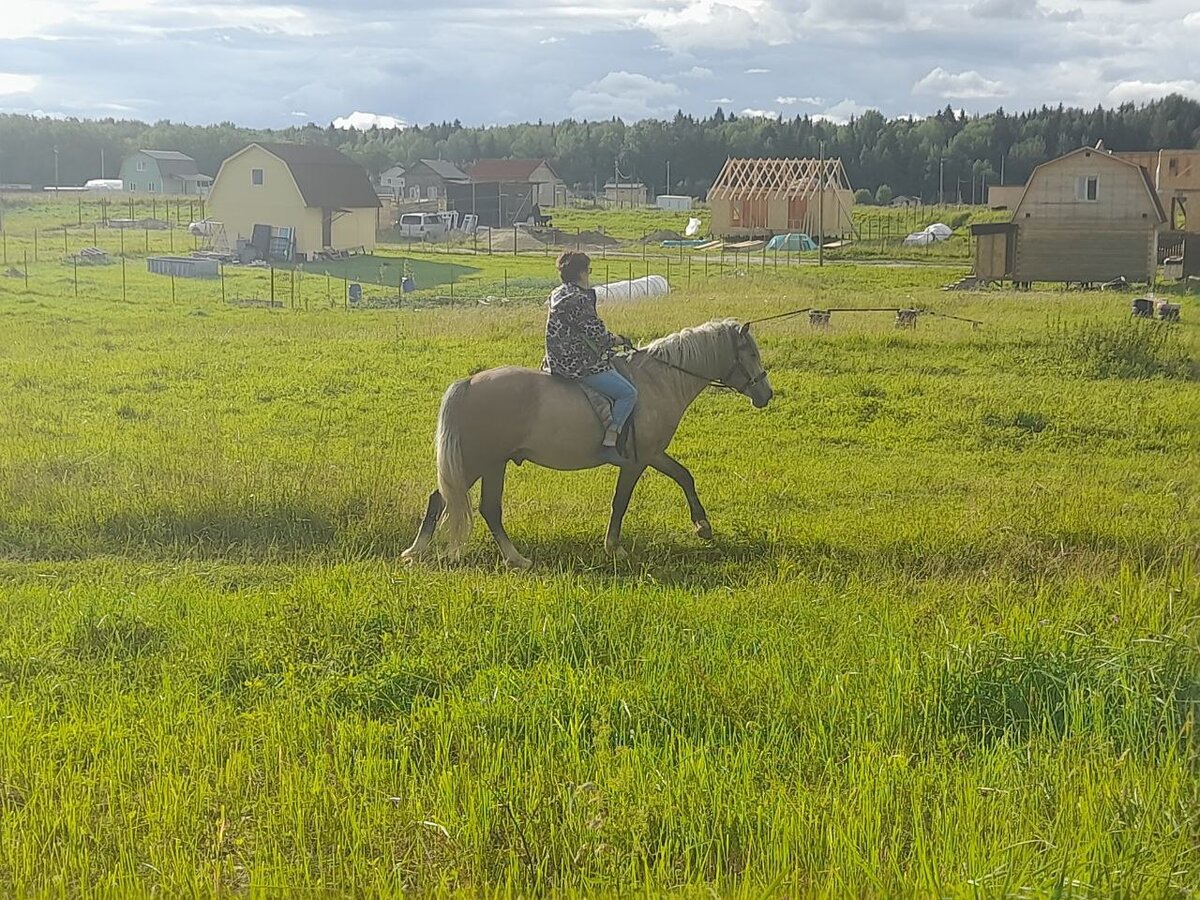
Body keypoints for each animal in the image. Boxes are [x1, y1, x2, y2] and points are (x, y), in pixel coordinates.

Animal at [403, 321, 772, 566]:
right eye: (752, 353)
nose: (766, 394)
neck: (658, 380)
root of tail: (469, 383)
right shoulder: (639, 460)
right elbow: (621, 502)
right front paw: (615, 547)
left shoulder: (654, 454)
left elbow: (685, 476)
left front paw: (703, 527)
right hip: (483, 462)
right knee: (463, 503)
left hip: (491, 464)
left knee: (467, 504)